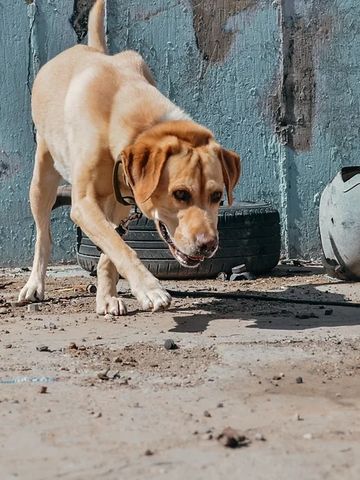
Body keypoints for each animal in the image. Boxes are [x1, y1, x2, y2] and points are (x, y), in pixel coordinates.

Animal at [19, 0, 239, 316]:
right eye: (180, 194)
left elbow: (111, 250)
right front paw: (150, 289)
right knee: (42, 237)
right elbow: (119, 246)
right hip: (42, 180)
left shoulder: (123, 204)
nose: (208, 245)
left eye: (218, 197)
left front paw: (107, 297)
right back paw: (34, 285)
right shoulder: (83, 205)